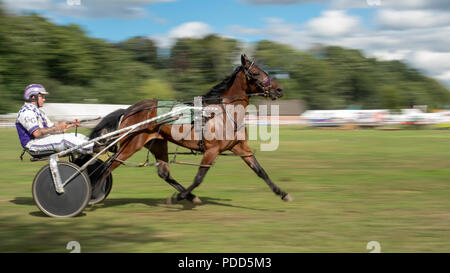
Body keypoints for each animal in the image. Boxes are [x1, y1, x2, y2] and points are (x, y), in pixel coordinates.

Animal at [91, 54, 294, 203]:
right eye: (256, 73)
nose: (279, 89)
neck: (222, 113)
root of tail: (129, 109)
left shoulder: (240, 147)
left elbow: (260, 170)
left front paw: (282, 193)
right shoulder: (212, 150)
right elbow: (199, 177)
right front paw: (181, 195)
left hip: (157, 143)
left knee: (164, 173)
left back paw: (190, 196)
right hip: (131, 144)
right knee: (108, 166)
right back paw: (94, 193)